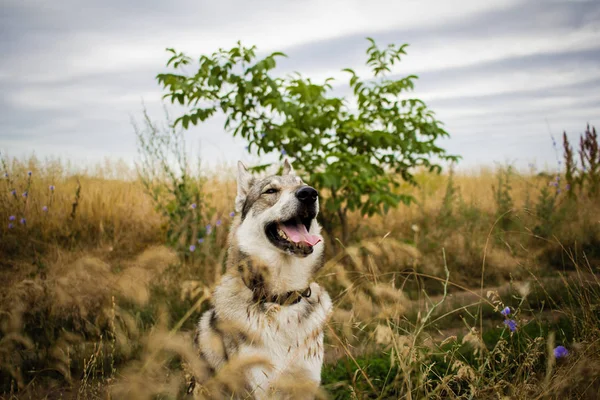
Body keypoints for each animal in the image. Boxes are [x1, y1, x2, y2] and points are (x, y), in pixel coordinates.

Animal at [190, 160, 332, 400]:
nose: (309, 193)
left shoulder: (305, 385)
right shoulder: (260, 390)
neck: (282, 299)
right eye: (271, 191)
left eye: (301, 183)